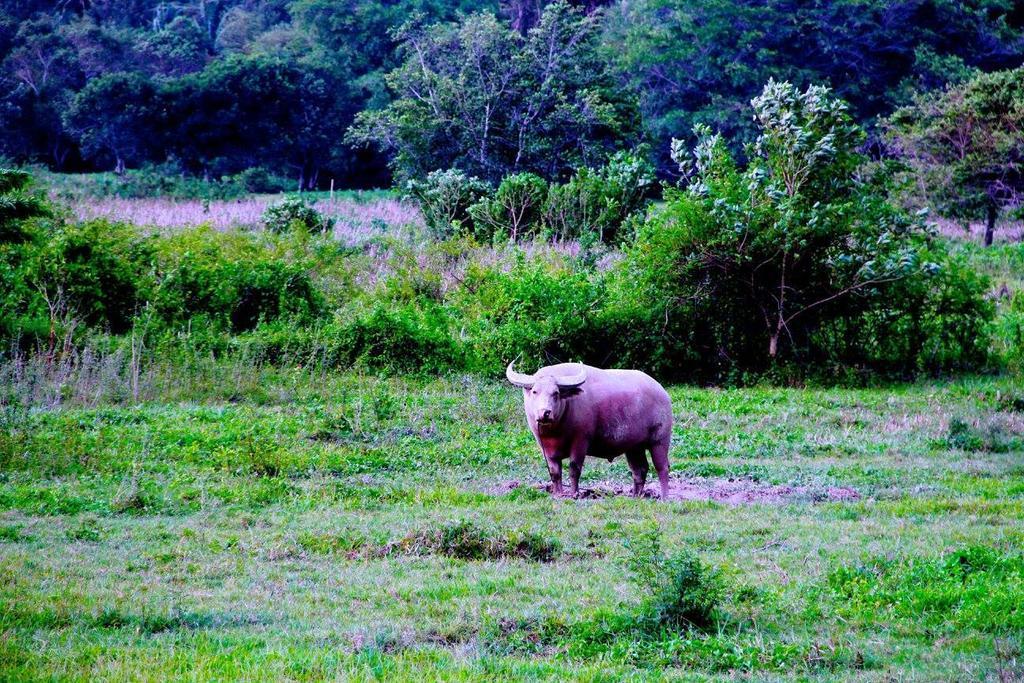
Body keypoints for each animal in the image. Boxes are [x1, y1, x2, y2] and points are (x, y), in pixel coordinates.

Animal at [503, 362, 671, 497]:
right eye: (535, 391)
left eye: (555, 393)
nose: (544, 413)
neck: (556, 430)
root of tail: (662, 392)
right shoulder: (545, 448)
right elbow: (555, 472)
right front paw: (558, 493)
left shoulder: (581, 441)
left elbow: (574, 469)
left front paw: (574, 493)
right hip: (634, 447)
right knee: (639, 470)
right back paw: (636, 496)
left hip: (660, 440)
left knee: (662, 467)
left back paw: (664, 497)